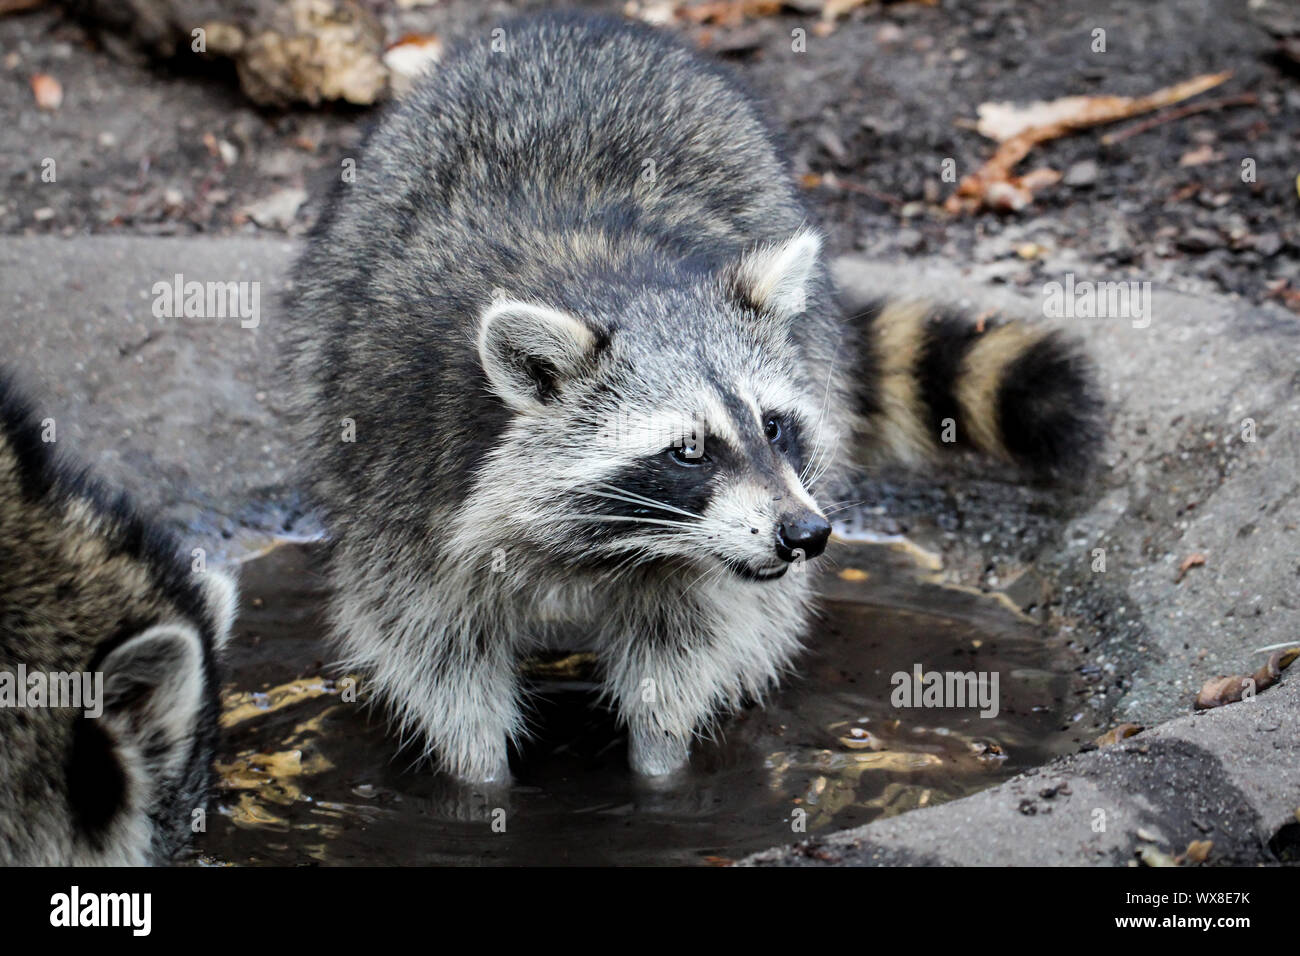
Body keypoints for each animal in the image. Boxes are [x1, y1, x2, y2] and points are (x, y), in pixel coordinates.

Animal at [284, 13, 1097, 785]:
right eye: (688, 450)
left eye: (774, 426)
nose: (805, 534)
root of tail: (574, 21)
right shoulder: (402, 465)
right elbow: (438, 658)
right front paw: (479, 781)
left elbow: (680, 659)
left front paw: (660, 772)